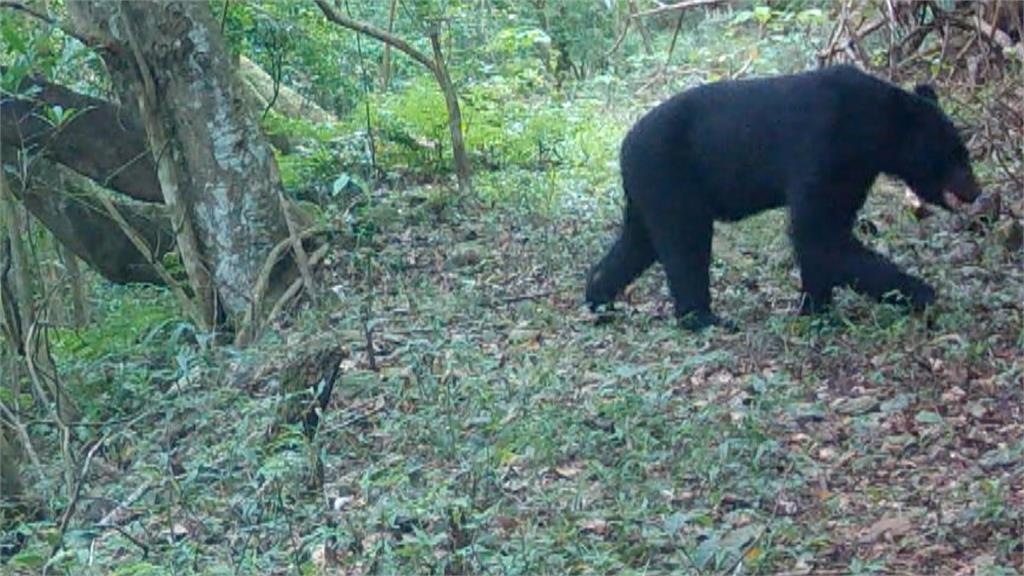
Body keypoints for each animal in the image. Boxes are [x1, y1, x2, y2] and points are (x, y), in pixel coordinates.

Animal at [589, 63, 978, 327]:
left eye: (963, 152)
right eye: (954, 154)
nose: (975, 191)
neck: (870, 128)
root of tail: (624, 147)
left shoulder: (854, 173)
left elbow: (827, 231)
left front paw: (816, 308)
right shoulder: (824, 148)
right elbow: (817, 232)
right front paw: (921, 293)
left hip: (648, 191)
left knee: (638, 243)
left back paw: (599, 298)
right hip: (671, 177)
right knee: (685, 246)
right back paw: (704, 319)